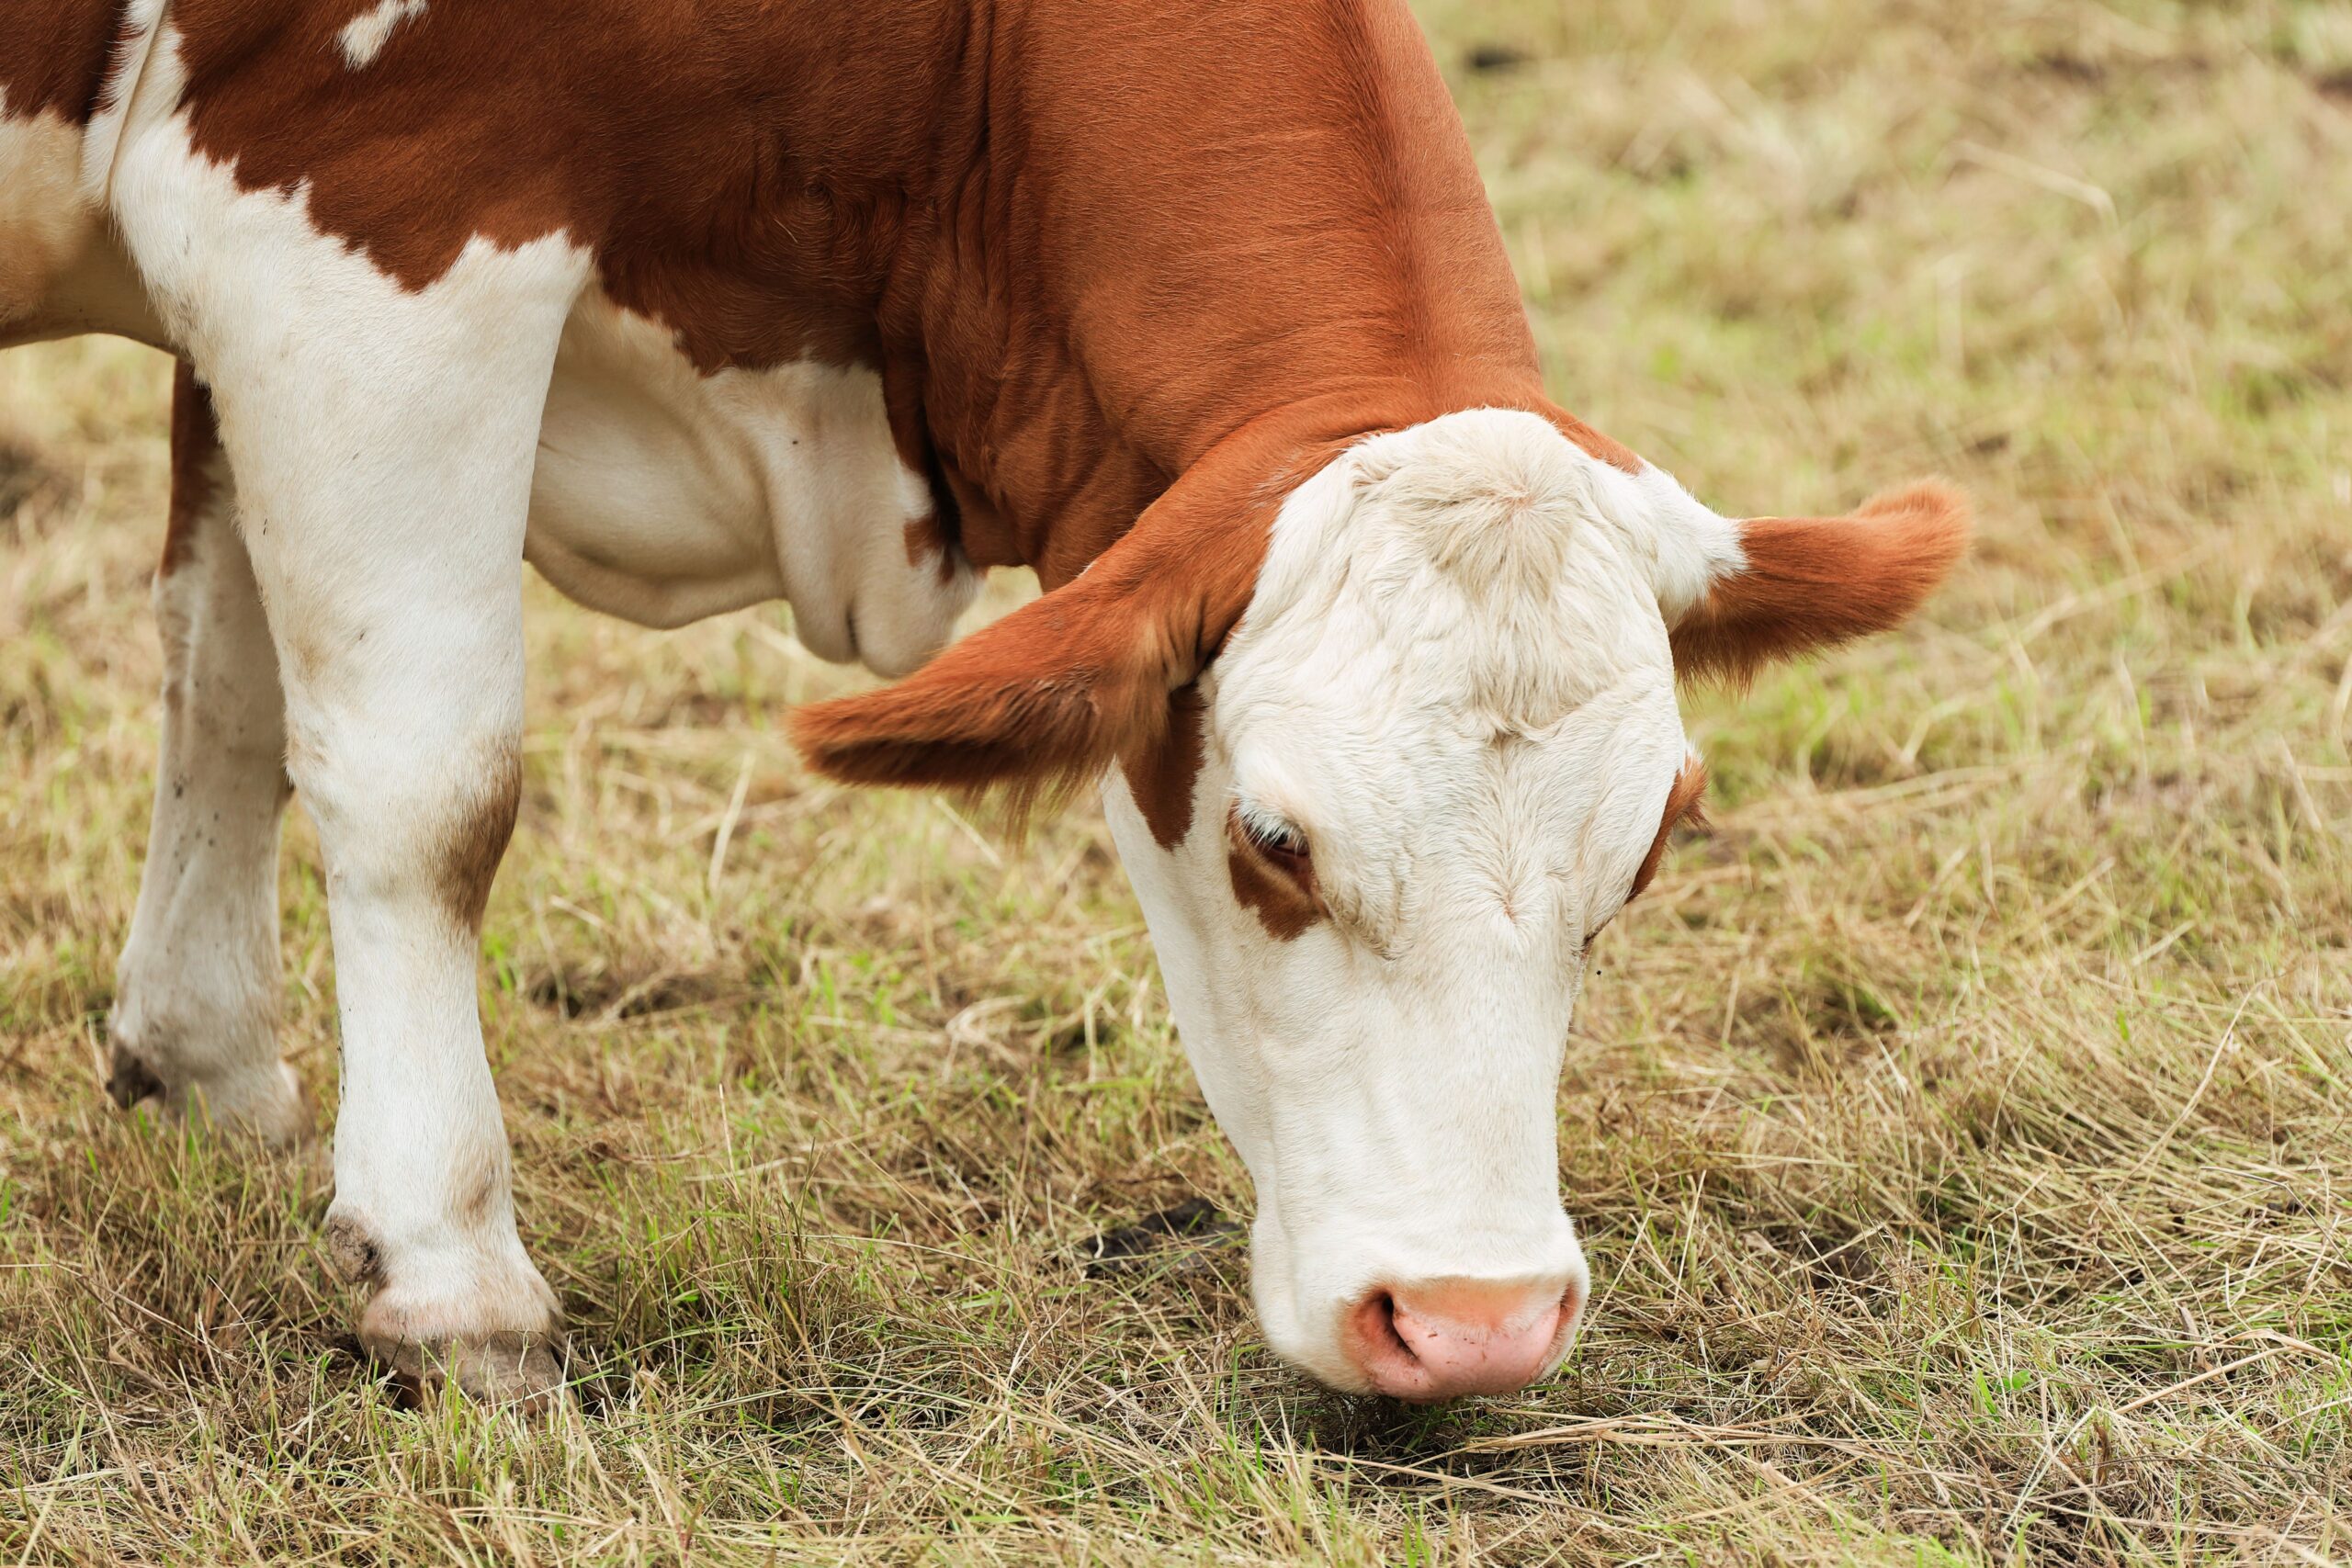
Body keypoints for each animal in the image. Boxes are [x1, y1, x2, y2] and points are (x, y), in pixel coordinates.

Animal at [1, 0, 1967, 1408]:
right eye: (1273, 838)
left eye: (1642, 860)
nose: (1472, 1320)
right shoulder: (368, 225)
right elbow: (428, 782)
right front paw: (447, 1270)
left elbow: (227, 676)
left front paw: (201, 1064)